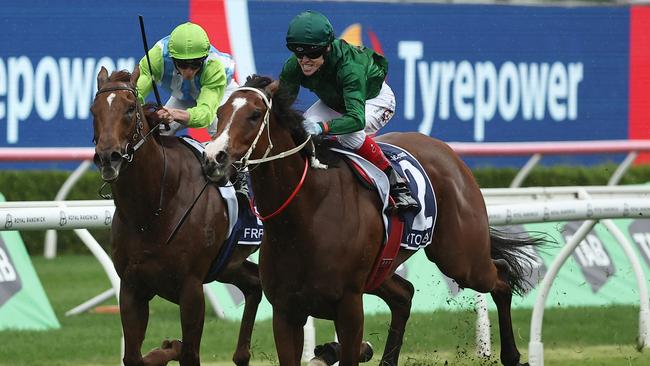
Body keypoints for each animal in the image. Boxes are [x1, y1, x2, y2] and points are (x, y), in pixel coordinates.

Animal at [90, 66, 260, 366]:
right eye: (92, 110)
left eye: (130, 108)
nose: (108, 157)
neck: (151, 211)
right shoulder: (132, 287)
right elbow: (134, 357)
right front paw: (168, 347)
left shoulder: (191, 288)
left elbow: (190, 353)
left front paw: (174, 346)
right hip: (229, 264)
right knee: (255, 285)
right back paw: (241, 354)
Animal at [204, 75, 548, 366]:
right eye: (219, 112)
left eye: (254, 114)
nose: (213, 159)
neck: (306, 216)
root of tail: (446, 151)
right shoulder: (286, 312)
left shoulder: (349, 307)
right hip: (384, 268)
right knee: (405, 295)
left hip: (460, 258)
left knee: (500, 277)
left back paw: (512, 355)